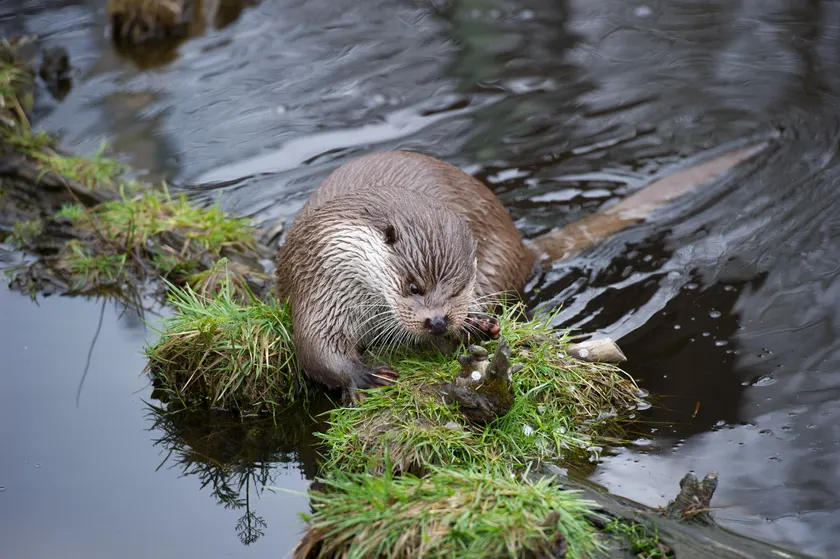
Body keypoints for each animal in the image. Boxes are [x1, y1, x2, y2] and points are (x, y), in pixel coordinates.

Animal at [276, 144, 769, 399]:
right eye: (413, 286)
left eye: (459, 288)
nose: (438, 321)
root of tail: (522, 247)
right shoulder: (321, 276)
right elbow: (315, 347)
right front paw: (364, 376)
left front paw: (476, 327)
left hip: (499, 262)